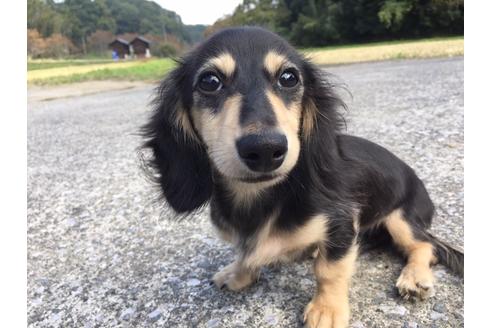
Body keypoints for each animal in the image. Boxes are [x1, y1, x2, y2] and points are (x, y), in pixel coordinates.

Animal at [140, 26, 464, 326]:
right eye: (209, 81)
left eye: (288, 78)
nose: (265, 149)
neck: (259, 199)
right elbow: (245, 254)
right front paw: (238, 273)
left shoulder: (342, 222)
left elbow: (329, 270)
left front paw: (327, 310)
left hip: (401, 218)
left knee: (425, 245)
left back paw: (414, 278)